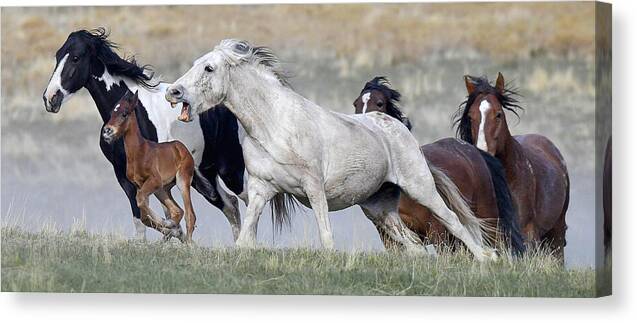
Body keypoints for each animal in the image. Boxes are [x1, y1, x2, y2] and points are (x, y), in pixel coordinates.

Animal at [103, 91, 196, 243]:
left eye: (124, 113)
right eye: (111, 113)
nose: (107, 131)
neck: (140, 152)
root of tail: (182, 148)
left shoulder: (153, 181)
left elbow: (140, 202)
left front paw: (167, 225)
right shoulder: (140, 185)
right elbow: (144, 215)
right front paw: (170, 227)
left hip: (182, 181)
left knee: (189, 215)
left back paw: (186, 241)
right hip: (162, 189)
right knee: (177, 211)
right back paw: (171, 231)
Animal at [165, 39, 496, 262]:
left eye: (209, 68)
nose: (173, 92)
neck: (275, 126)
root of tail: (403, 132)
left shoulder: (313, 188)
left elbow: (326, 236)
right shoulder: (261, 189)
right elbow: (245, 238)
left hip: (420, 186)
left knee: (453, 220)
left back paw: (486, 258)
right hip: (378, 207)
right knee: (413, 245)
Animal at [350, 76, 524, 256]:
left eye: (379, 103)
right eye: (355, 103)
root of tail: (475, 151)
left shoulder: (438, 232)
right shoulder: (389, 237)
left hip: (487, 217)